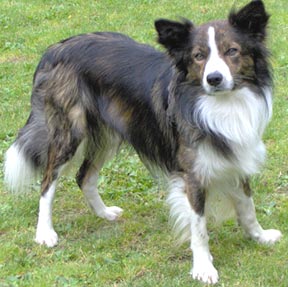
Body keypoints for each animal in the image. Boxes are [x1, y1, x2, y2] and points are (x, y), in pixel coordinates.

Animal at [3, 1, 282, 286]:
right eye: (198, 56)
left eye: (232, 51)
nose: (213, 79)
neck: (220, 105)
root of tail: (54, 49)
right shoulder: (191, 175)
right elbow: (199, 227)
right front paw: (203, 267)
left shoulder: (236, 157)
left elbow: (247, 206)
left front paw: (260, 236)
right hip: (69, 132)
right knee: (48, 180)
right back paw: (45, 232)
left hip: (109, 133)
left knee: (84, 176)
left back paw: (104, 213)